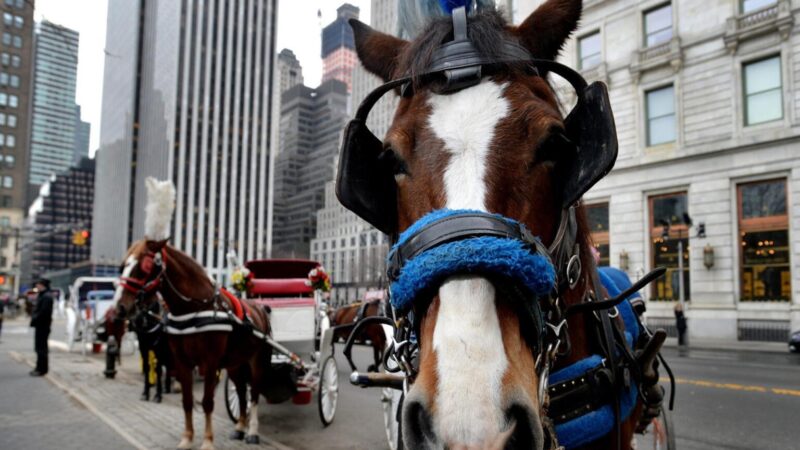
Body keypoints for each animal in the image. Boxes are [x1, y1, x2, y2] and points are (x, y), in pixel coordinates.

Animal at [115, 239, 272, 450]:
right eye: (123, 265)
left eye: (143, 266)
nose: (120, 307)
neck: (194, 308)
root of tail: (260, 308)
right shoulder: (182, 362)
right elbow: (187, 400)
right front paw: (187, 438)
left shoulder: (210, 362)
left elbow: (207, 402)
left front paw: (207, 440)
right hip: (235, 364)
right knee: (240, 391)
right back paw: (239, 428)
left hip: (257, 361)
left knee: (253, 392)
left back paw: (253, 431)